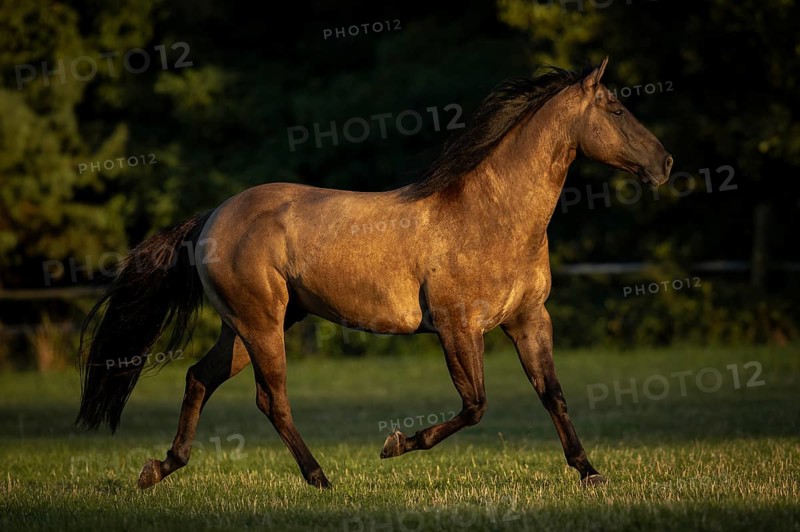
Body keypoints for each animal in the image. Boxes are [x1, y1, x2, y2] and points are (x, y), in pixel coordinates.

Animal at [76, 56, 672, 490]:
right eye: (616, 110)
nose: (665, 164)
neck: (490, 216)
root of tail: (213, 216)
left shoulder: (529, 320)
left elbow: (553, 395)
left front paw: (590, 472)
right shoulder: (457, 327)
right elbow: (475, 405)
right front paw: (395, 444)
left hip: (250, 327)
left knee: (200, 377)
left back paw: (159, 469)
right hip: (262, 325)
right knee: (271, 400)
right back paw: (319, 478)